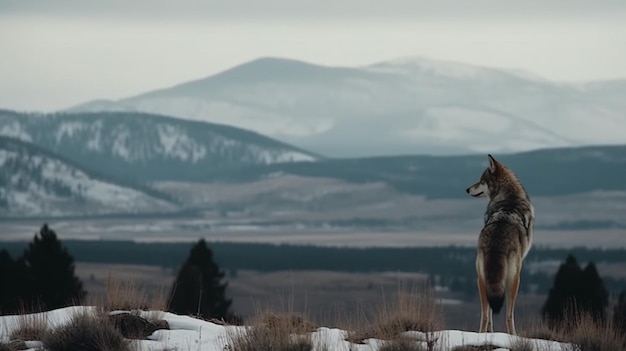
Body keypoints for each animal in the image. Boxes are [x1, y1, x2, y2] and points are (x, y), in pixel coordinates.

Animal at [464, 155, 532, 336]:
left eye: (481, 180)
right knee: (507, 315)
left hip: (481, 280)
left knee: (485, 314)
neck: (509, 198)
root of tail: (496, 240)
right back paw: (513, 336)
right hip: (515, 279)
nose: (467, 189)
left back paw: (484, 335)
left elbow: (489, 315)